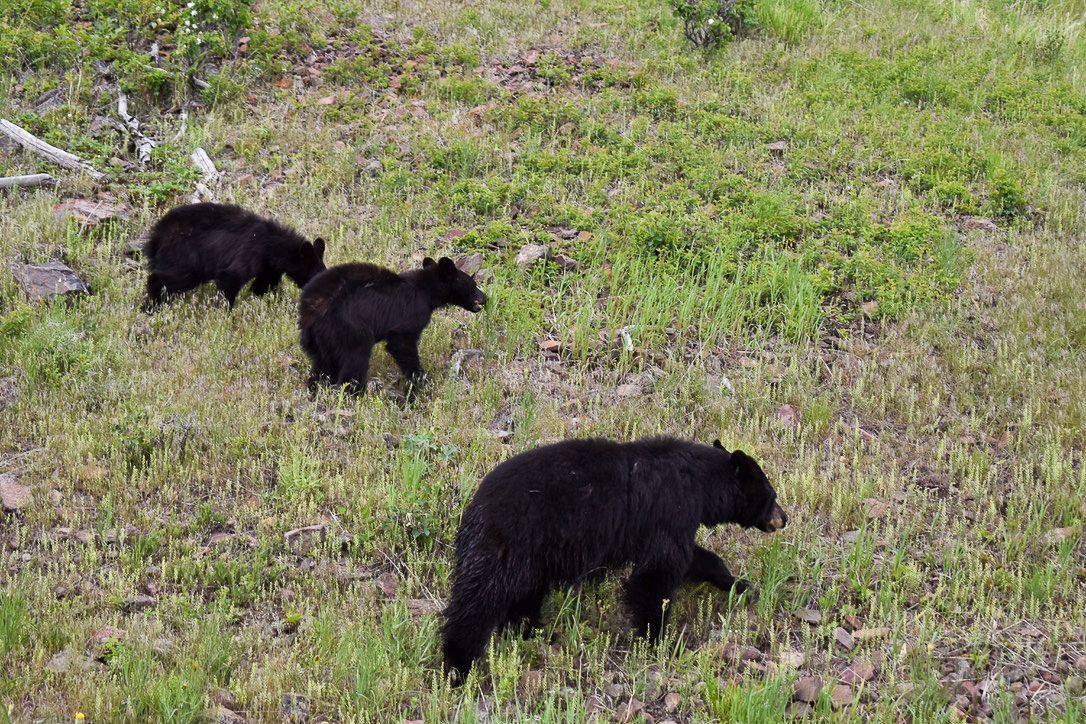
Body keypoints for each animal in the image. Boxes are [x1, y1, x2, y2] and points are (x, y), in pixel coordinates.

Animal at [143, 202, 327, 310]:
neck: (273, 247)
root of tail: (157, 236)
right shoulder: (252, 252)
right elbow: (231, 276)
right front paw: (225, 311)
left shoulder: (269, 267)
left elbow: (262, 286)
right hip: (185, 257)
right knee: (168, 279)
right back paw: (152, 305)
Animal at [298, 256, 487, 395]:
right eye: (473, 284)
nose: (485, 298)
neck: (427, 292)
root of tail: (311, 312)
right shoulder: (411, 314)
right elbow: (402, 343)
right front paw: (419, 381)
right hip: (348, 329)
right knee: (355, 360)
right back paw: (355, 392)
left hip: (320, 340)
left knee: (322, 365)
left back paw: (316, 388)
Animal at [441, 436, 787, 680]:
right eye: (772, 495)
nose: (785, 518)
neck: (699, 484)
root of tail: (473, 508)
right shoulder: (668, 511)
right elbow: (655, 575)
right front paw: (659, 640)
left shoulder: (672, 524)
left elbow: (695, 558)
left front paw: (739, 584)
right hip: (510, 544)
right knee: (479, 601)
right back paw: (458, 666)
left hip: (532, 558)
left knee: (524, 596)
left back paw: (535, 630)